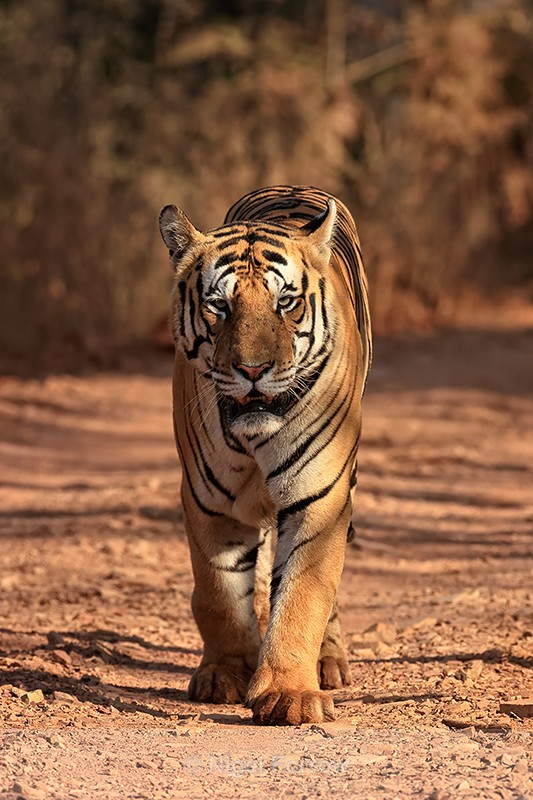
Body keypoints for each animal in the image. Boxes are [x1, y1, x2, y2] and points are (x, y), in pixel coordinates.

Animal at [159, 185, 371, 725]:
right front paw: (227, 673)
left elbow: (302, 595)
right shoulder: (210, 501)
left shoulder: (320, 497)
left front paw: (288, 694)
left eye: (286, 303)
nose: (253, 370)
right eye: (219, 305)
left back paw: (327, 663)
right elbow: (219, 593)